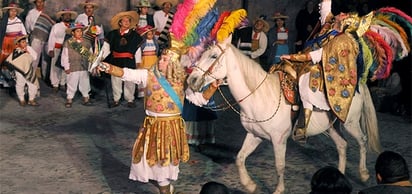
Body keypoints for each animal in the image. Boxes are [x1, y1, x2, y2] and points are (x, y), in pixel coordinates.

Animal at [186, 37, 380, 194]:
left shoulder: (278, 140)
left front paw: (278, 190)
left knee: (362, 141)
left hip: (350, 123)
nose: (192, 80)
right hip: (332, 126)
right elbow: (240, 158)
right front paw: (250, 185)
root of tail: (358, 83)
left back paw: (364, 174)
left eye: (213, 56)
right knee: (342, 145)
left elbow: (279, 166)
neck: (260, 96)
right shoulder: (255, 135)